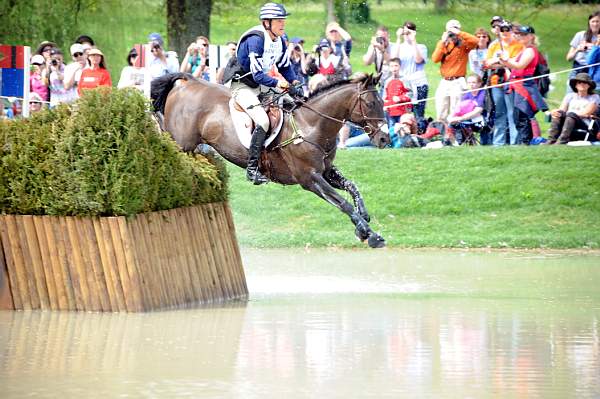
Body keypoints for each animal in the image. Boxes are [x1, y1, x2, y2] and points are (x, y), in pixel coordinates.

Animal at [151, 72, 390, 247]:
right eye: (370, 103)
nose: (384, 139)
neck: (311, 125)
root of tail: (185, 82)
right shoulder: (310, 179)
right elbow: (342, 203)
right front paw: (369, 234)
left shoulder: (326, 172)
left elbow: (352, 187)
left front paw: (363, 220)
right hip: (181, 144)